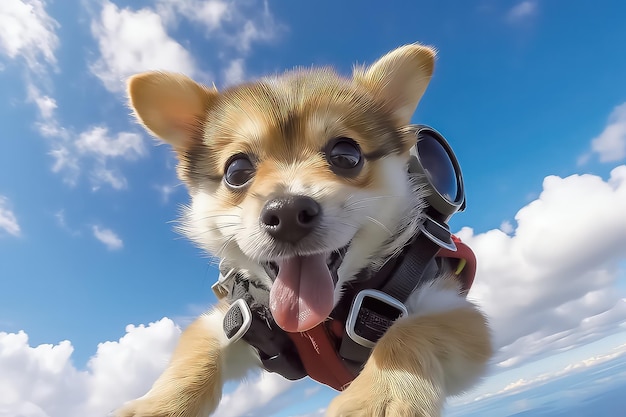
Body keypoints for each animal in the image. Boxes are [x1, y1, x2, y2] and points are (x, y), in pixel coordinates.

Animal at [114, 44, 490, 414]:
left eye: (346, 155)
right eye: (236, 170)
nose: (288, 212)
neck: (318, 322)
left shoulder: (454, 309)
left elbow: (410, 331)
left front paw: (376, 399)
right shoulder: (231, 320)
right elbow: (195, 358)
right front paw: (158, 407)